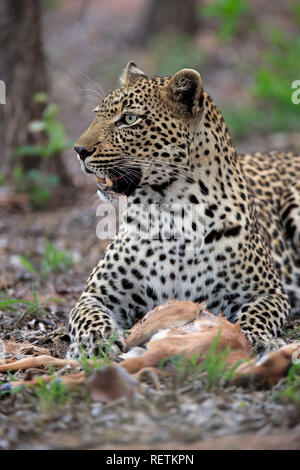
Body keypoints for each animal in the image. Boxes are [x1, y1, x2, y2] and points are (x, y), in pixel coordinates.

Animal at [67, 60, 300, 358]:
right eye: (97, 115)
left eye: (129, 119)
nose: (79, 150)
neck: (172, 212)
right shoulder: (96, 295)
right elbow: (88, 316)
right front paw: (94, 341)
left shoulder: (269, 292)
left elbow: (257, 315)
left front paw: (258, 339)